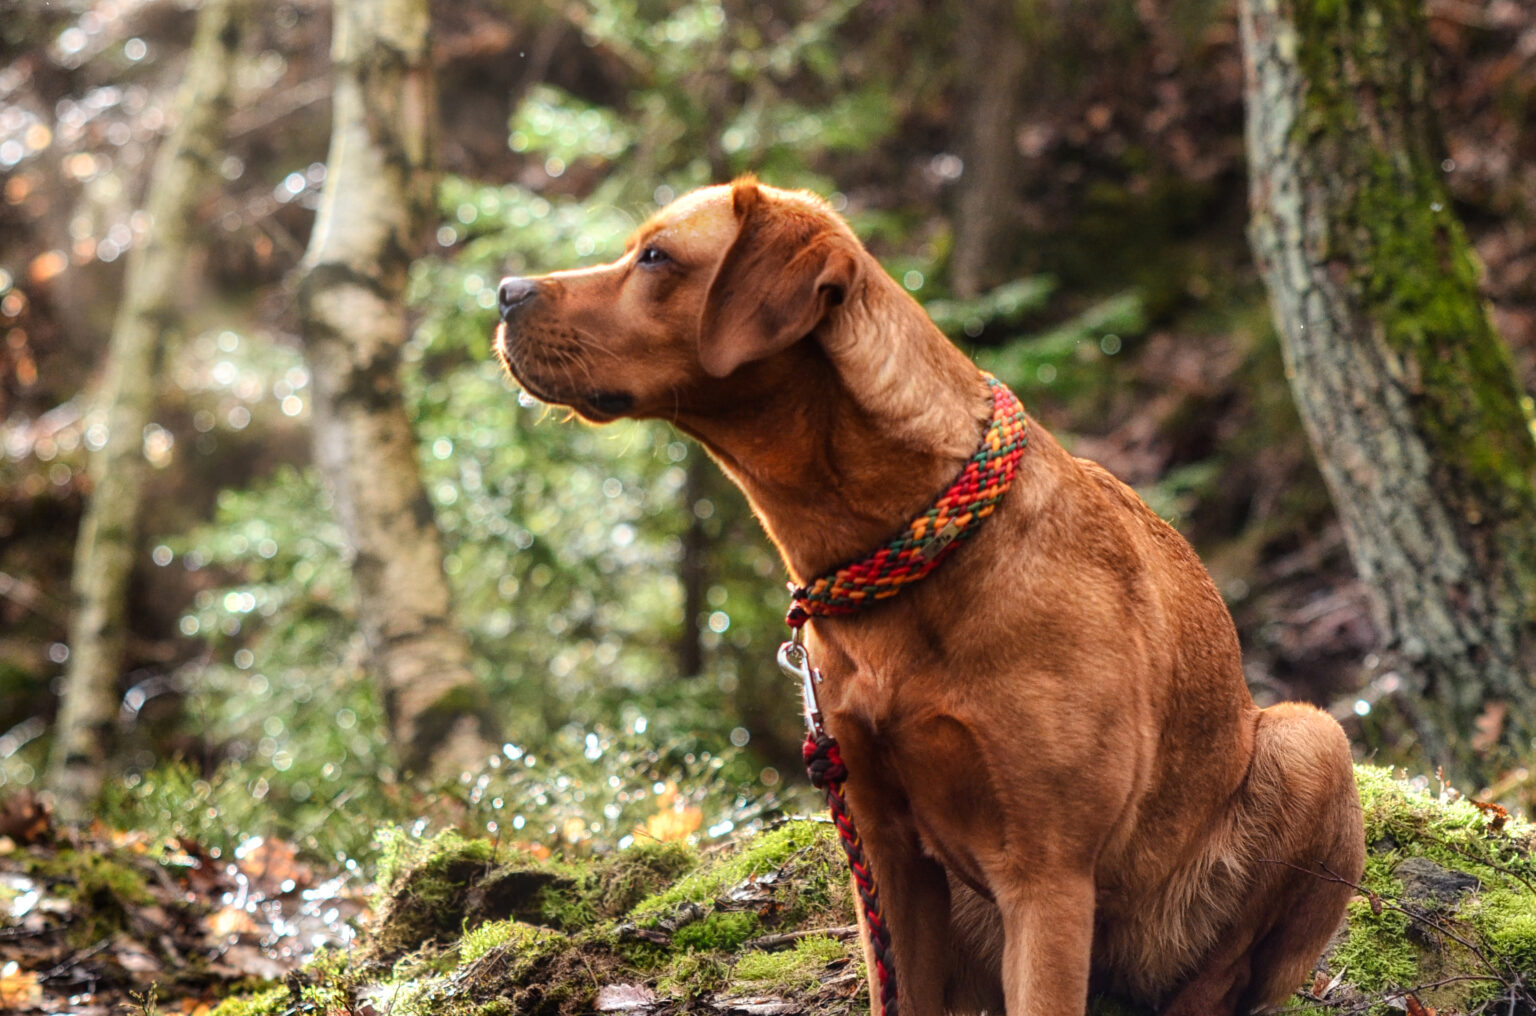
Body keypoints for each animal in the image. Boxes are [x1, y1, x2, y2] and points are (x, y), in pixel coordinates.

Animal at [488, 178, 1357, 1008]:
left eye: (656, 258)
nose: (502, 290)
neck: (904, 551)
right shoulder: (884, 848)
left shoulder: (1047, 873)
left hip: (1311, 742)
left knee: (1223, 980)